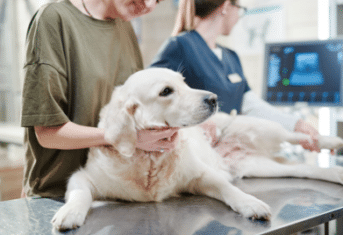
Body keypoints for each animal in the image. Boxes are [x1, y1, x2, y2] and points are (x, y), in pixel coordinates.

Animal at [51, 68, 343, 231]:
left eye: (184, 82)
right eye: (166, 91)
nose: (212, 98)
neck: (150, 159)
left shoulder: (201, 175)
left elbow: (229, 189)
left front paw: (250, 203)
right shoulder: (83, 177)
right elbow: (80, 194)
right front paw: (69, 213)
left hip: (260, 127)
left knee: (296, 136)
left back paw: (330, 142)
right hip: (258, 166)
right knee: (303, 169)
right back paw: (335, 174)